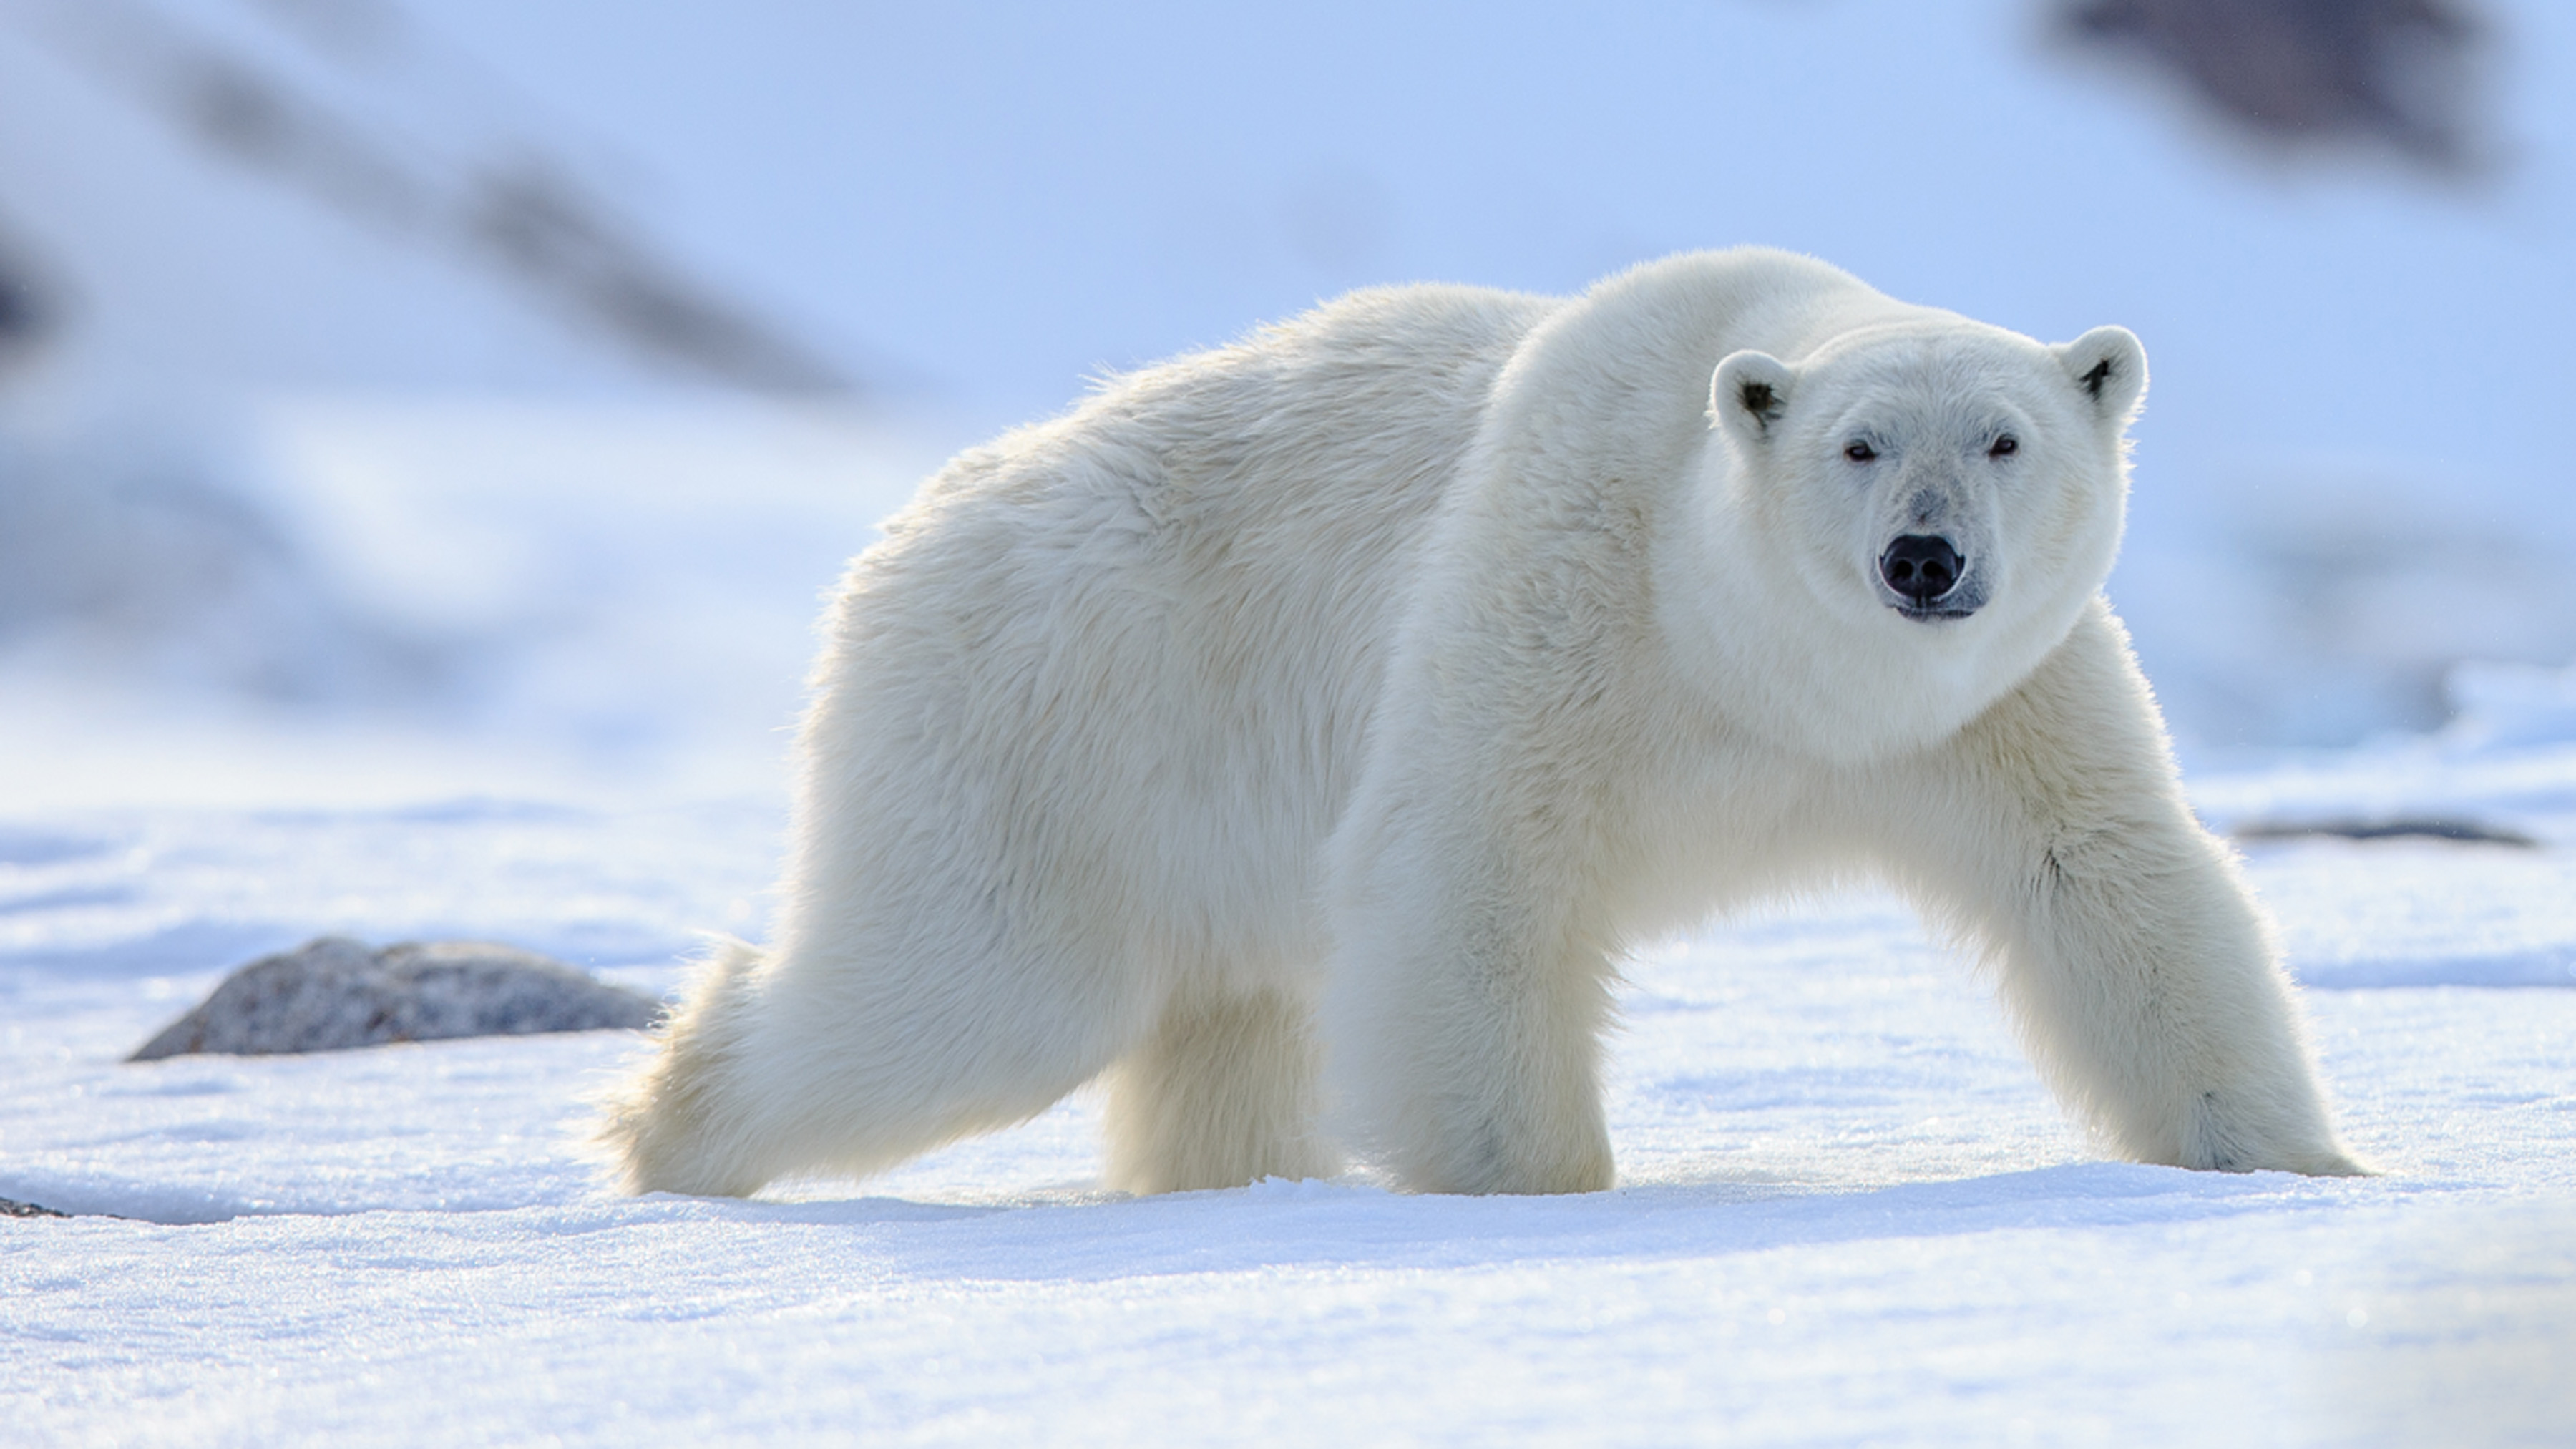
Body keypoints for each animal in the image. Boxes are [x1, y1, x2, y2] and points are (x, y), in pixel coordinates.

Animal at [595, 247, 2364, 1198]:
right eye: (1859, 446)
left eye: (2005, 437)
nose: (1924, 561)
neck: (1759, 667)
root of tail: (910, 529)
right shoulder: (1558, 594)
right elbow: (1472, 874)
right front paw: (1536, 1193)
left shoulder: (1995, 705)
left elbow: (2111, 882)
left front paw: (2299, 1166)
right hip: (1052, 716)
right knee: (970, 992)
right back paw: (667, 1130)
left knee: (1223, 1018)